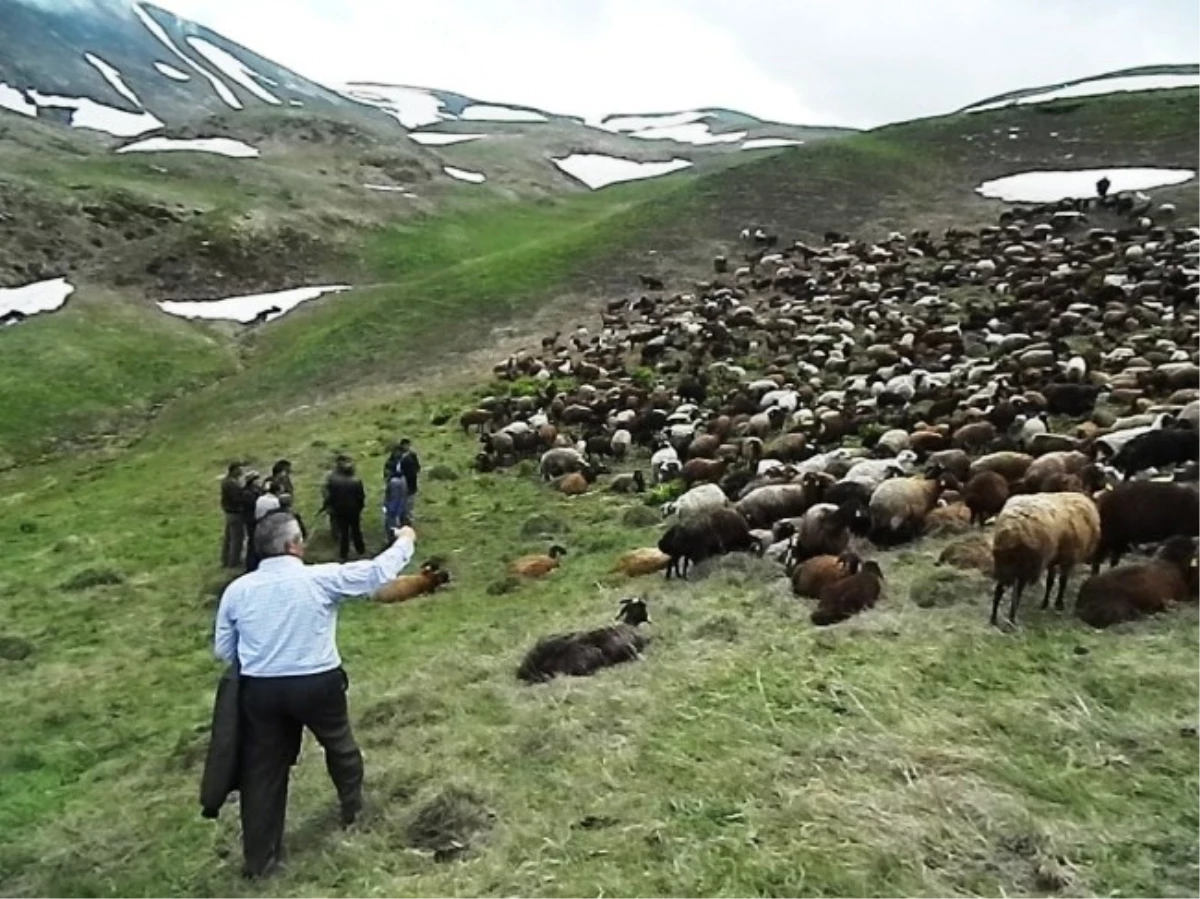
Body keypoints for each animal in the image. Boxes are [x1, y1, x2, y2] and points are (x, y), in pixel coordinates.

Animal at [988, 492, 1099, 624]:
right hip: (1023, 567)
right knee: (1016, 592)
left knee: (999, 590)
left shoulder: (1053, 560)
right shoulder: (1068, 558)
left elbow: (1050, 582)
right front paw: (1058, 604)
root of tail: (1010, 530)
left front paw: (1045, 603)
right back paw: (1012, 618)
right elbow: (1062, 582)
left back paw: (994, 618)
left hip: (1005, 566)